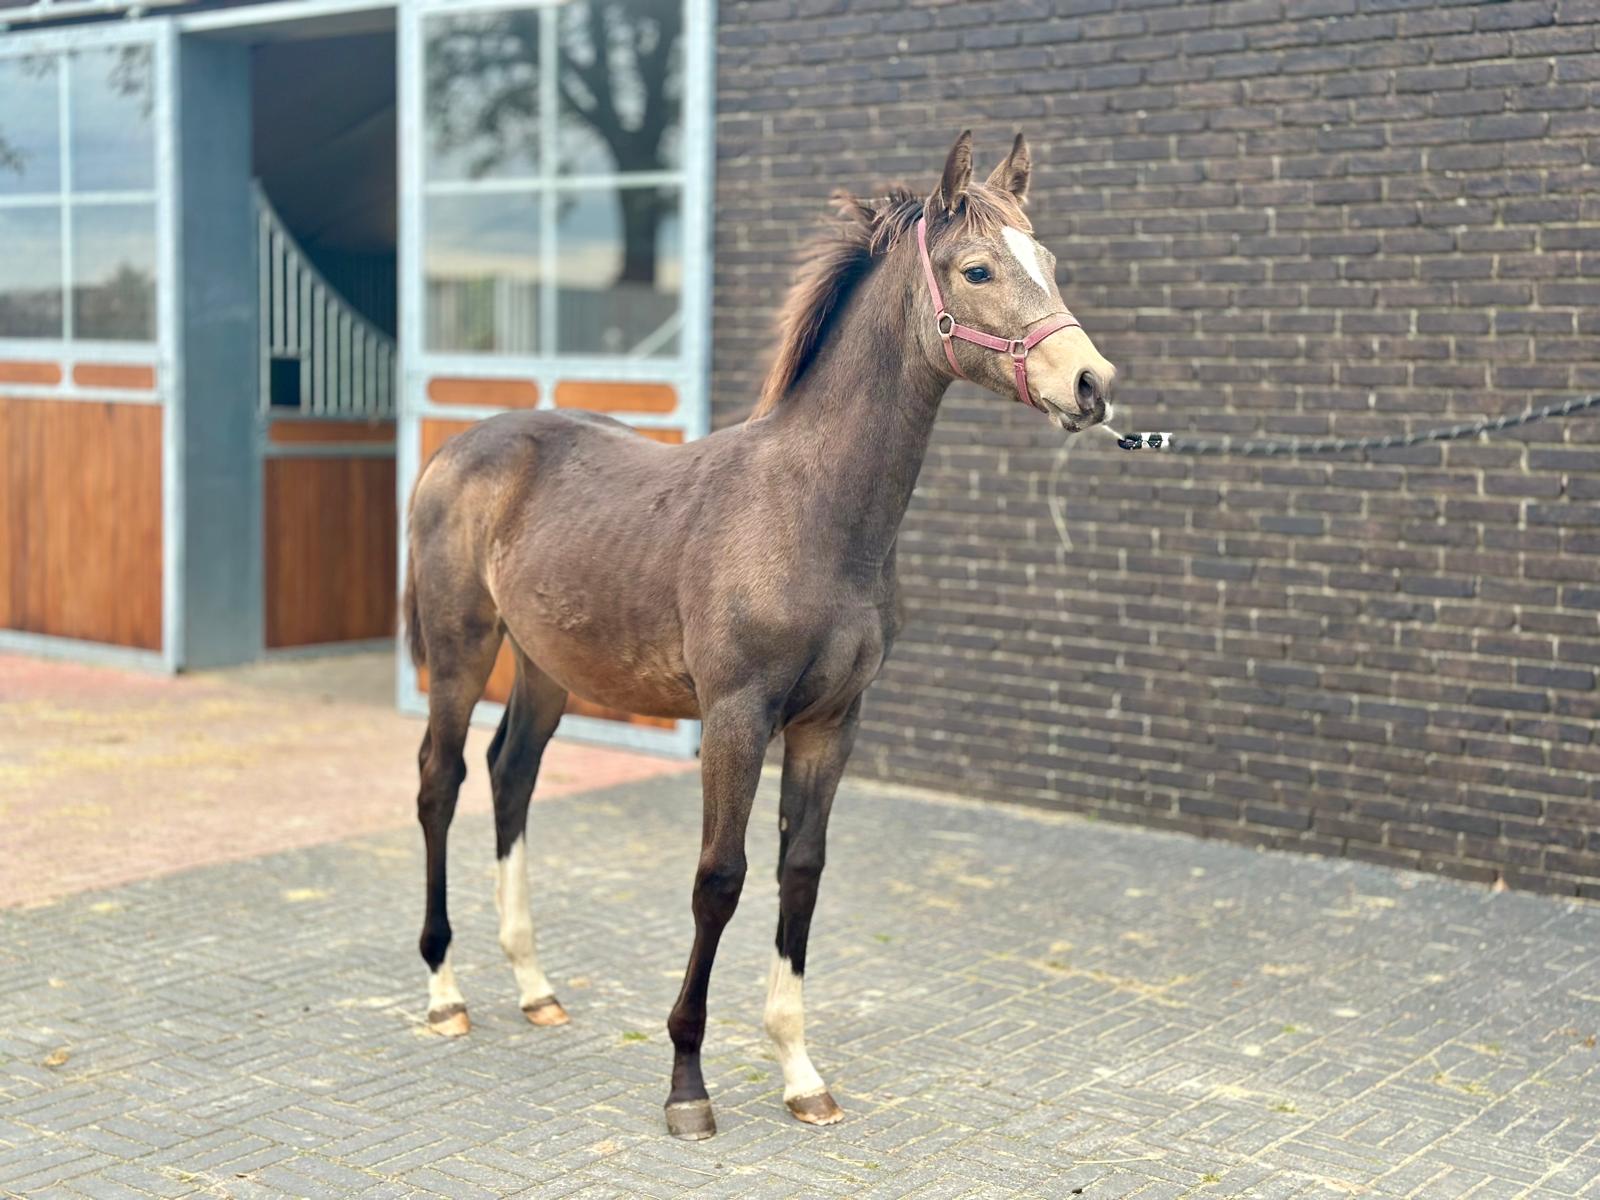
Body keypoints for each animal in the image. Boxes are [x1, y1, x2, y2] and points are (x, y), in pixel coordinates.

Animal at [401, 130, 1118, 1140]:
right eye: (978, 268)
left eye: (1046, 261)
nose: (1092, 385)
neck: (811, 511)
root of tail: (459, 449)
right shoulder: (736, 718)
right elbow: (721, 878)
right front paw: (687, 1085)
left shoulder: (831, 724)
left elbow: (800, 873)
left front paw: (800, 1073)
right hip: (462, 651)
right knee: (441, 782)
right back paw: (444, 991)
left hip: (546, 665)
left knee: (513, 776)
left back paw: (535, 987)